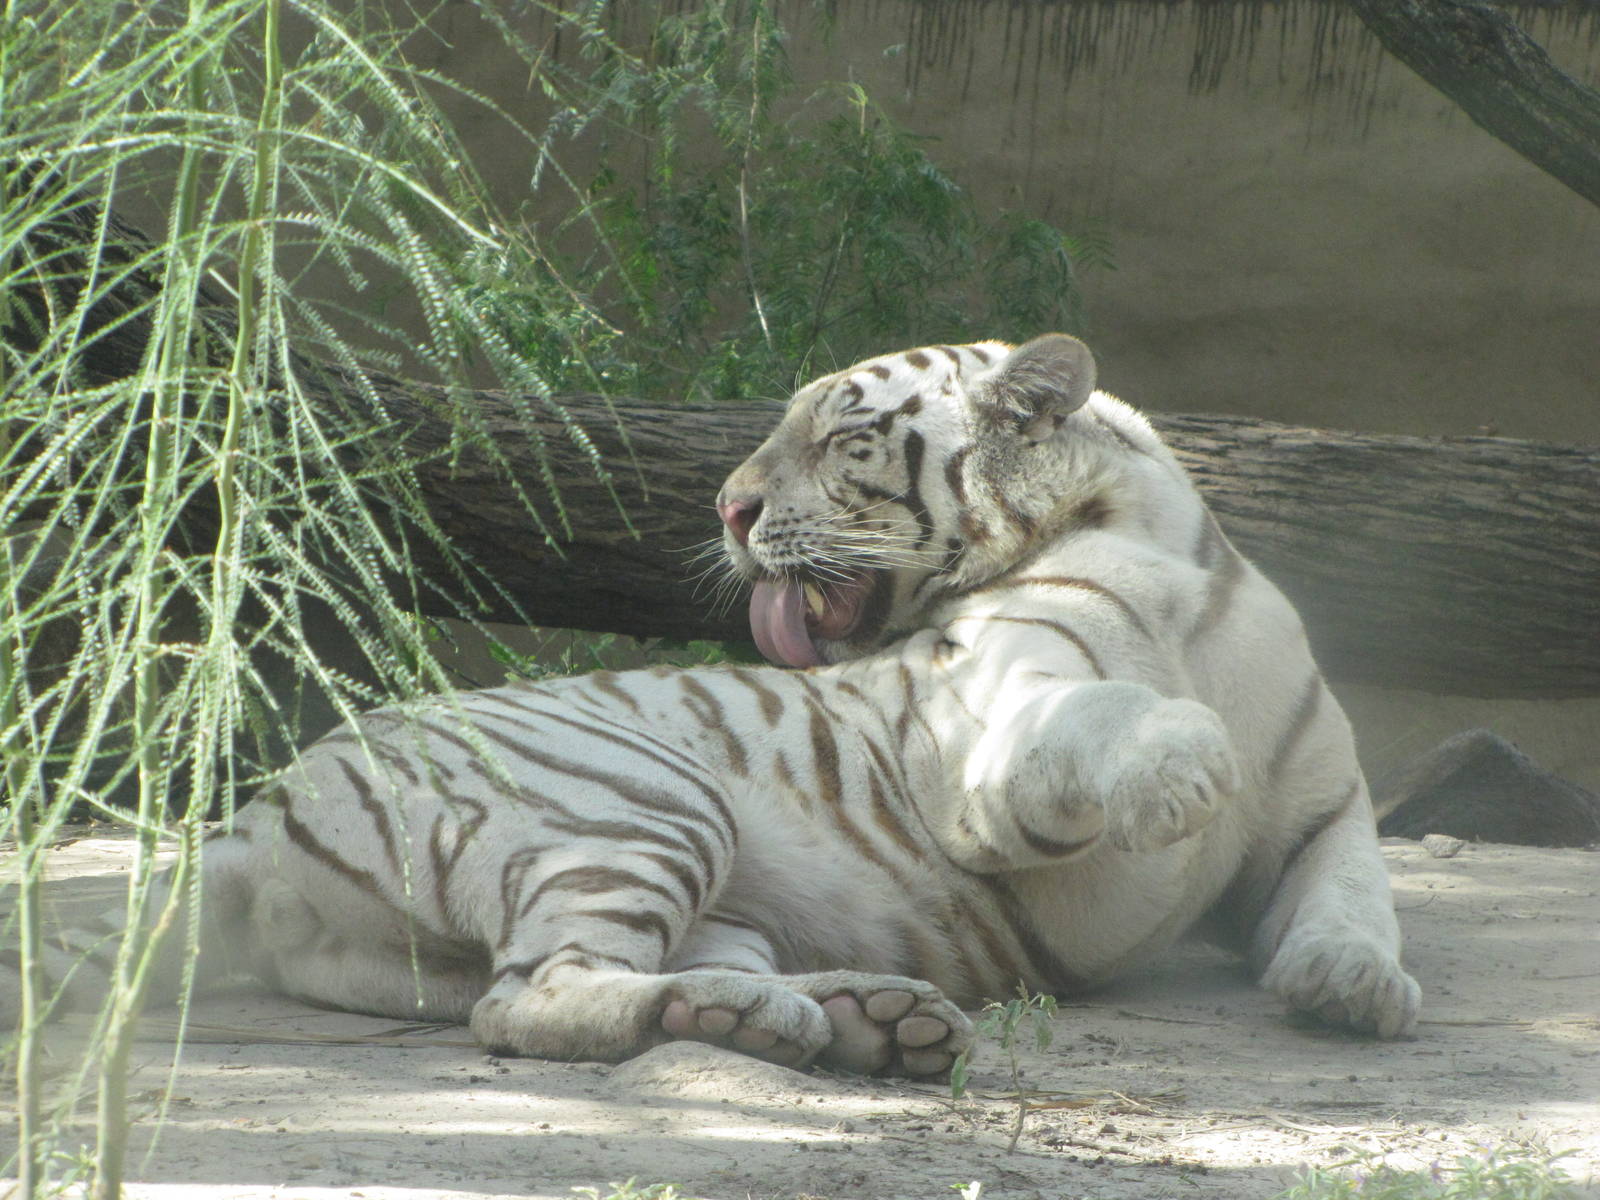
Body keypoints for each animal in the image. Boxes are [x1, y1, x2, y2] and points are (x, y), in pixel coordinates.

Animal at [5, 333, 1421, 1077]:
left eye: (843, 439)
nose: (728, 508)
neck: (1152, 542)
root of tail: (252, 819)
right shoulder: (980, 734)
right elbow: (1093, 721)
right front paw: (1180, 764)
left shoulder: (1325, 805)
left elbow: (1353, 888)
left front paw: (1351, 981)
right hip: (644, 802)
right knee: (526, 997)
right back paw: (807, 1020)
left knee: (625, 973)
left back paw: (856, 1017)